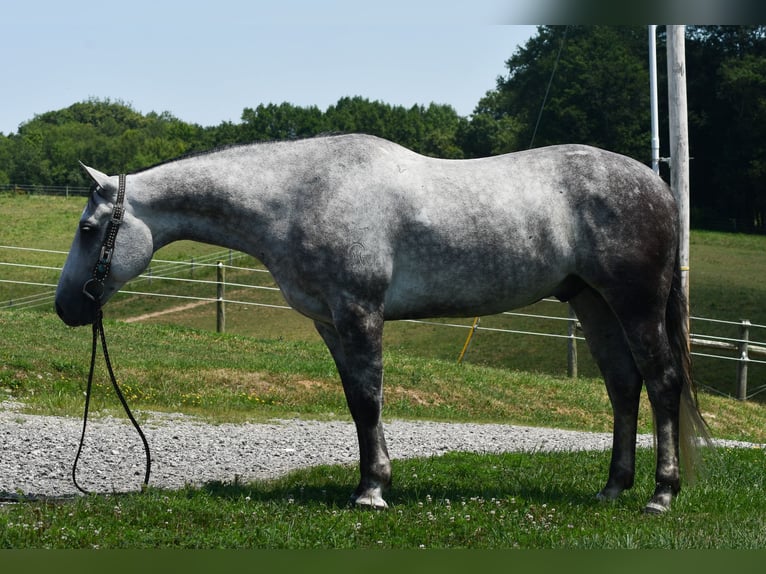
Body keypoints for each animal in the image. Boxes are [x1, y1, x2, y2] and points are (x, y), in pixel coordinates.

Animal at [55, 133, 709, 513]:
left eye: (88, 229)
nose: (67, 308)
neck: (300, 193)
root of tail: (657, 185)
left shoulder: (359, 311)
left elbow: (370, 398)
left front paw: (372, 492)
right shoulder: (330, 322)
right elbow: (355, 401)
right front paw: (372, 480)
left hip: (634, 303)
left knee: (661, 383)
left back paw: (661, 494)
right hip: (593, 304)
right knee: (623, 387)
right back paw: (613, 487)